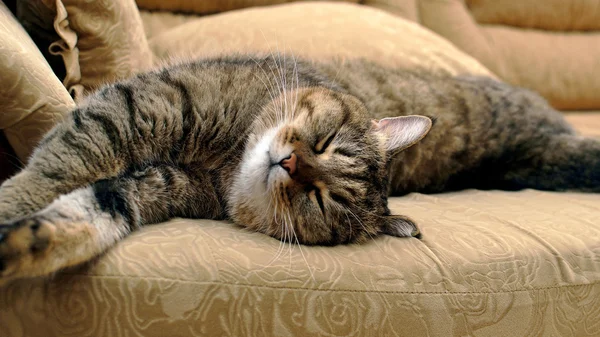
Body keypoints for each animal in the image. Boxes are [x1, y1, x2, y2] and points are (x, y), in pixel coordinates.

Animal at [0, 54, 596, 284]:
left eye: (321, 198)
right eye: (328, 144)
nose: (288, 161)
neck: (226, 164)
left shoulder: (160, 184)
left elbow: (92, 203)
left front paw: (25, 239)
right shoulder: (153, 102)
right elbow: (65, 160)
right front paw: (16, 200)